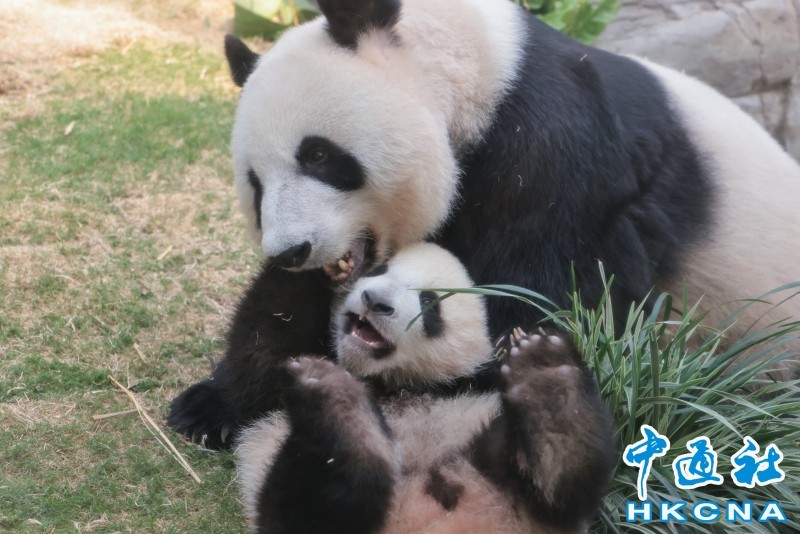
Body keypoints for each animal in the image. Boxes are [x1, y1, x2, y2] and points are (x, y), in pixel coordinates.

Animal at [167, 0, 800, 449]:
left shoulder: (558, 159)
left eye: (319, 155)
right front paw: (210, 406)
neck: (481, 75)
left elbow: (548, 299)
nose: (289, 249)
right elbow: (281, 310)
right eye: (255, 183)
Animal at [235, 243, 616, 534]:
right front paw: (324, 264)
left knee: (559, 486)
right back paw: (339, 405)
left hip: (490, 456)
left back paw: (547, 381)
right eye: (380, 271)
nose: (374, 300)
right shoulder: (277, 388)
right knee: (319, 497)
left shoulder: (471, 385)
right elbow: (268, 341)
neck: (391, 384)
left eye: (430, 304)